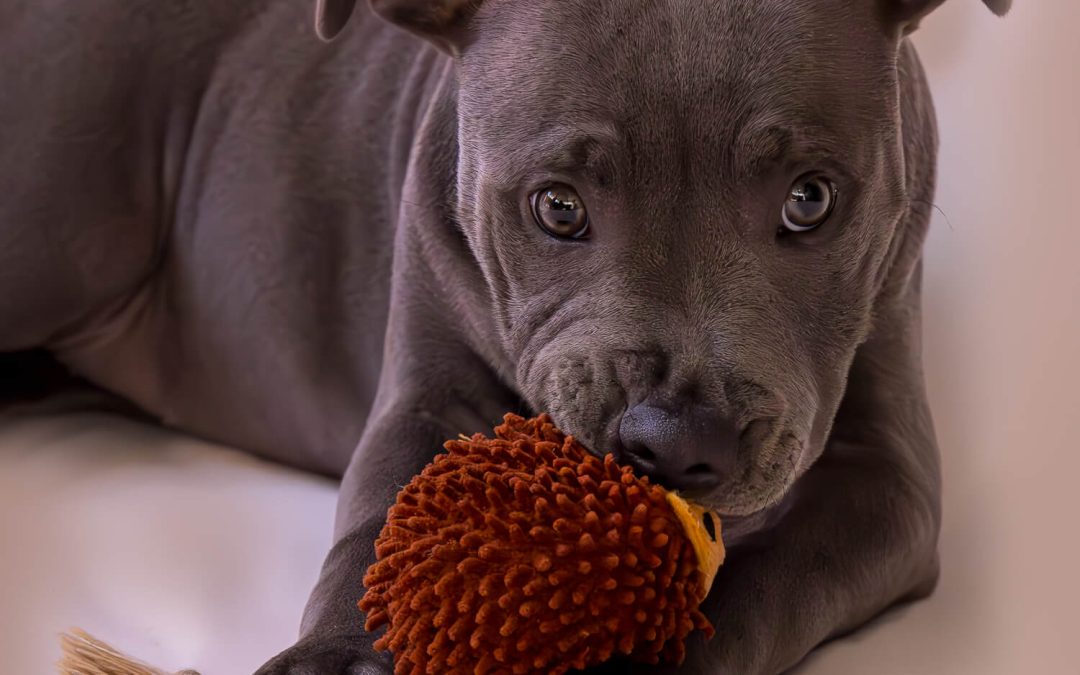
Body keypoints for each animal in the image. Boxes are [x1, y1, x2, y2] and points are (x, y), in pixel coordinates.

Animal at [0, 0, 1010, 669]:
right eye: (556, 207)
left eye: (811, 199)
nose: (679, 441)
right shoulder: (426, 394)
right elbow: (380, 522)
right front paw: (337, 654)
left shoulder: (888, 481)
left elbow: (778, 576)